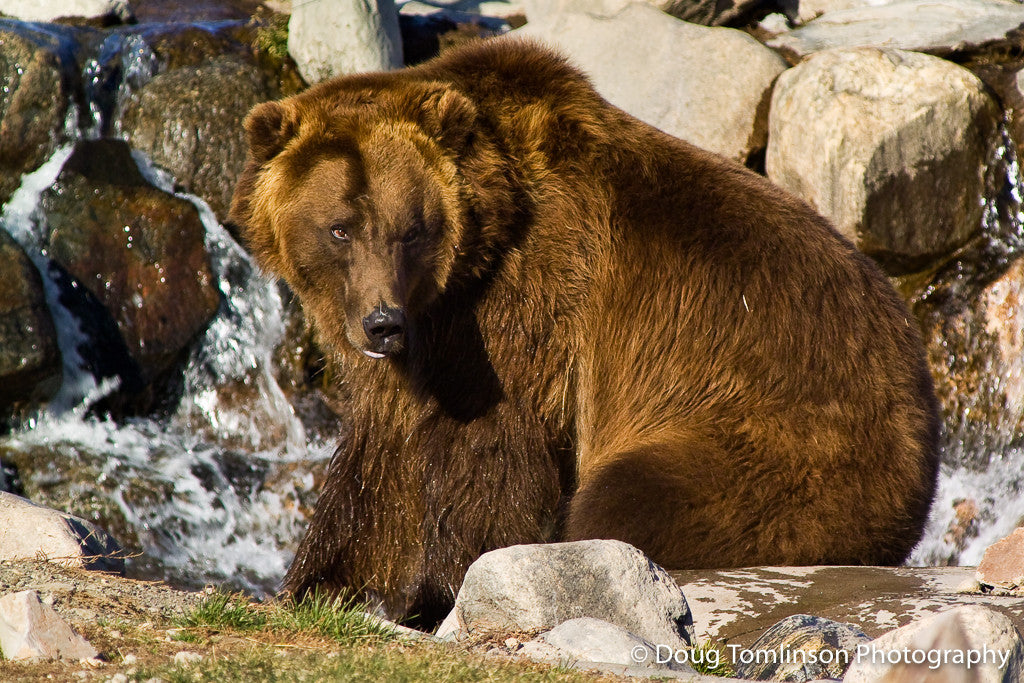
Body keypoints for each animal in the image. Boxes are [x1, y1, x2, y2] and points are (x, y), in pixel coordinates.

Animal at [229, 37, 941, 625]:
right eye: (339, 228)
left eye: (412, 229)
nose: (382, 324)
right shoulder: (423, 340)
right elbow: (377, 460)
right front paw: (319, 585)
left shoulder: (527, 306)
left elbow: (490, 450)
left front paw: (435, 593)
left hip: (777, 436)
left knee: (627, 498)